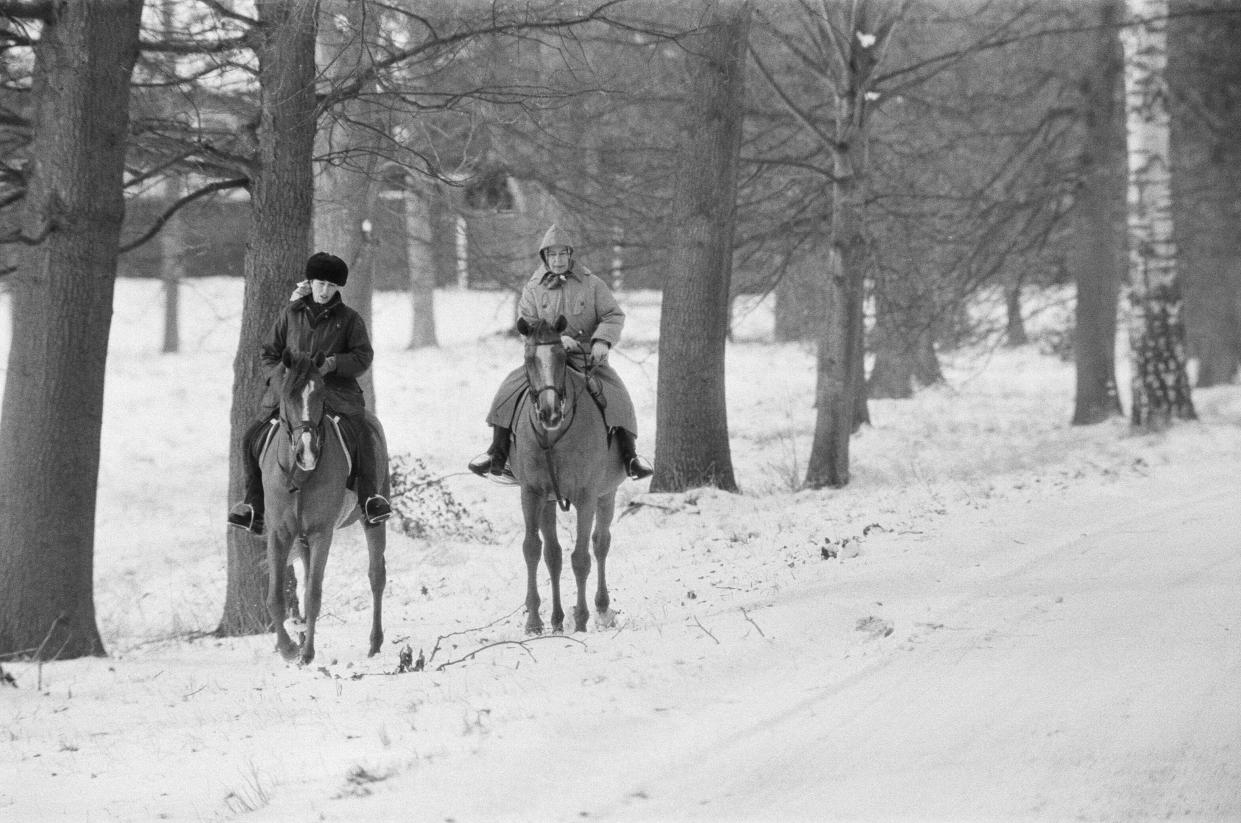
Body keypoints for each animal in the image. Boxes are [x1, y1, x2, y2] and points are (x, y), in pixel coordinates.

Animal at [256, 350, 382, 665]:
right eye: (288, 394)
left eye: (321, 394)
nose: (307, 452)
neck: (300, 477)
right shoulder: (279, 533)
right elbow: (276, 595)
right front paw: (289, 648)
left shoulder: (321, 532)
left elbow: (314, 593)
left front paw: (307, 652)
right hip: (300, 539)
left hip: (372, 518)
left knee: (377, 576)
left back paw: (375, 644)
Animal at [508, 317, 625, 633]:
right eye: (529, 358)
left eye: (562, 356)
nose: (549, 412)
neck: (554, 436)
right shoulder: (532, 493)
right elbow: (533, 549)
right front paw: (535, 621)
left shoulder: (586, 497)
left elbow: (581, 558)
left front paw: (581, 620)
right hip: (548, 502)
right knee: (553, 555)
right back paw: (558, 619)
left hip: (606, 494)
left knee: (600, 543)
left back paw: (601, 608)